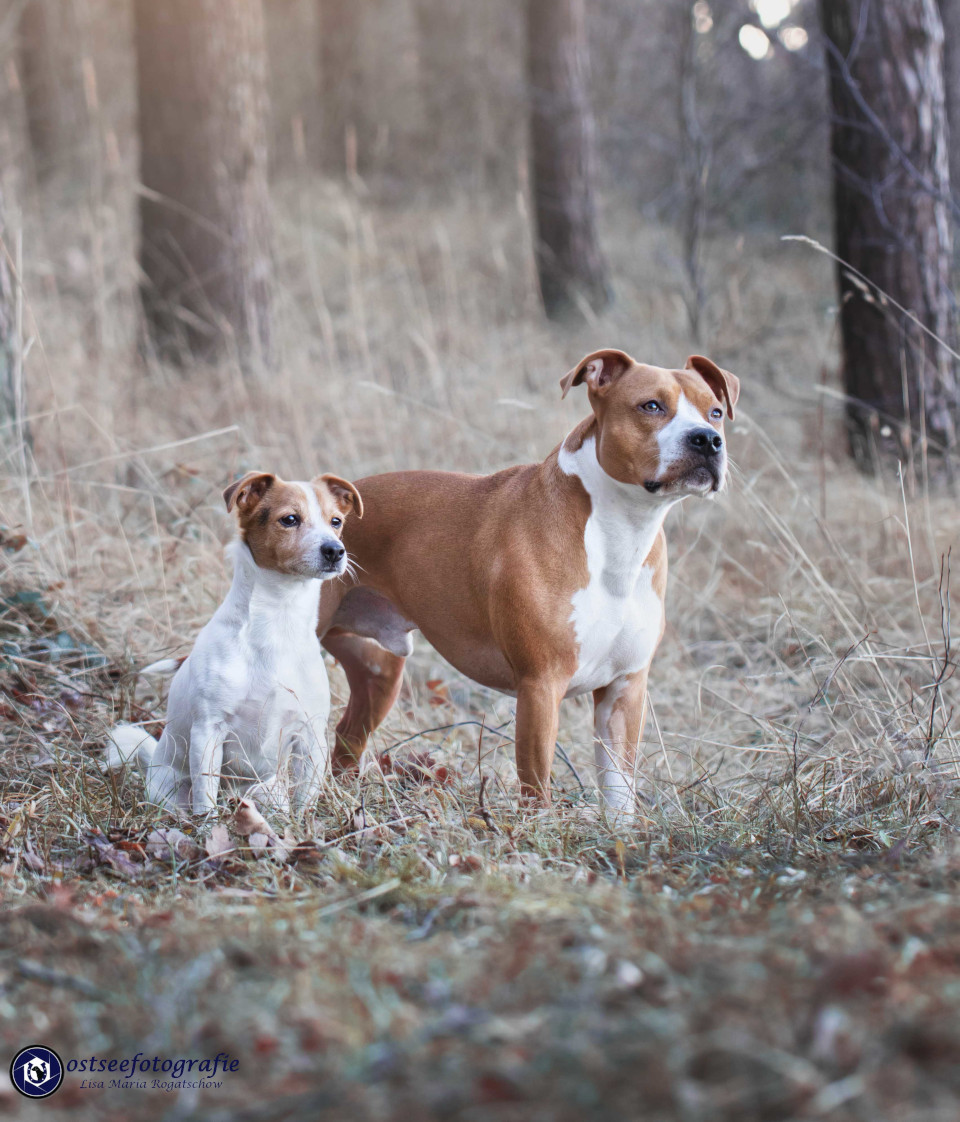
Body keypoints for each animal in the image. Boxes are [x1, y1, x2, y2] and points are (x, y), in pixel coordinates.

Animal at [108, 471, 361, 816]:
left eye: (336, 521)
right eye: (290, 519)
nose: (335, 550)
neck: (278, 620)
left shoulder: (311, 735)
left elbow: (304, 802)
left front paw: (305, 826)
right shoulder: (209, 730)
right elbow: (206, 795)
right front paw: (209, 827)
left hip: (267, 790)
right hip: (169, 790)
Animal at [318, 350, 740, 816]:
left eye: (715, 412)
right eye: (651, 406)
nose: (707, 439)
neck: (618, 533)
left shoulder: (624, 691)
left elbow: (619, 791)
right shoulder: (541, 686)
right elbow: (536, 789)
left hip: (380, 674)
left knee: (348, 738)